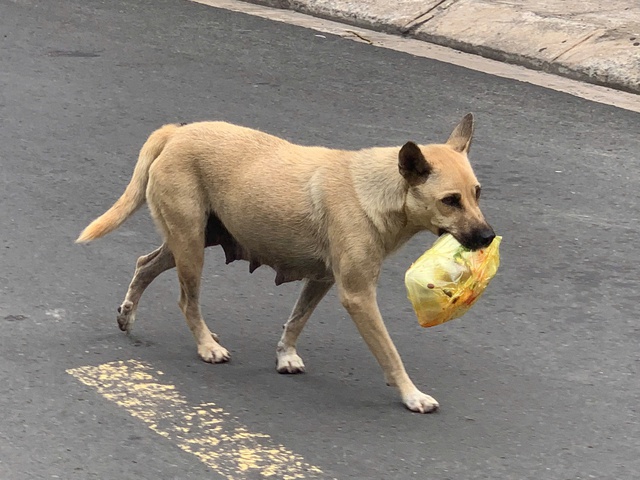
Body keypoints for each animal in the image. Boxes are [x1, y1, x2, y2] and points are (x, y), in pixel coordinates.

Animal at [76, 113, 496, 412]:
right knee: (186, 300)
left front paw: (285, 355)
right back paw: (205, 345)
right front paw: (411, 394)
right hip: (191, 247)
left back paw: (128, 314)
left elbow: (296, 320)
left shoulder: (323, 280)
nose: (488, 236)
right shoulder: (358, 295)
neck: (377, 190)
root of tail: (176, 133)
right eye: (450, 200)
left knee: (144, 263)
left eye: (477, 193)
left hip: (192, 240)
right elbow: (390, 353)